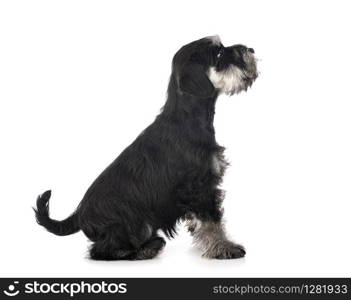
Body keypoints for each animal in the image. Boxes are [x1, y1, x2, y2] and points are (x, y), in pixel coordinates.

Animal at [33, 35, 258, 260]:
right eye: (219, 53)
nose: (251, 50)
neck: (187, 118)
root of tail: (79, 215)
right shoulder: (199, 188)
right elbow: (212, 221)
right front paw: (225, 248)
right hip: (132, 223)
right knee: (102, 250)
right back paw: (143, 250)